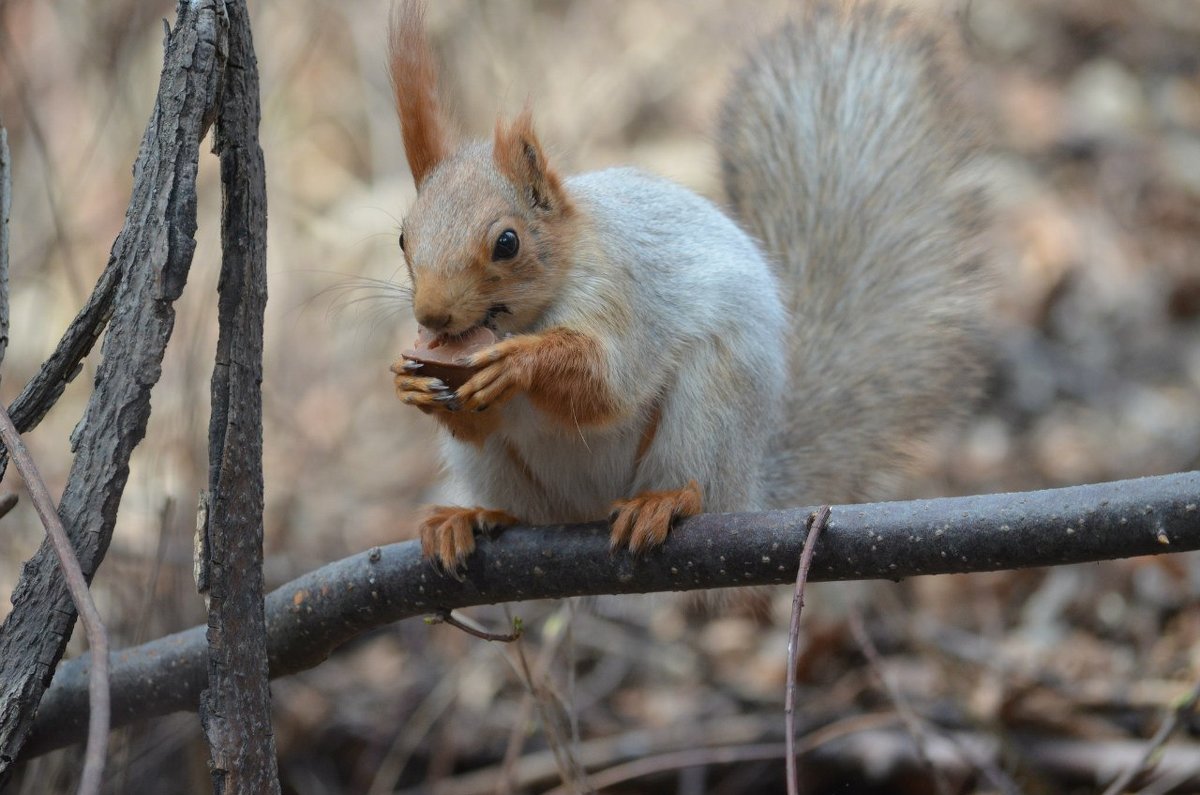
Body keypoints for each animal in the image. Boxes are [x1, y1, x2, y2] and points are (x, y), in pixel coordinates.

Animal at [388, 0, 988, 576]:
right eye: (402, 237)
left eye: (507, 243)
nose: (432, 316)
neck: (525, 318)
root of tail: (747, 485)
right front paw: (410, 384)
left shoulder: (626, 292)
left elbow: (607, 384)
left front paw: (519, 363)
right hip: (502, 474)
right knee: (524, 508)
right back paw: (470, 517)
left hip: (713, 407)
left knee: (694, 480)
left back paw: (665, 501)